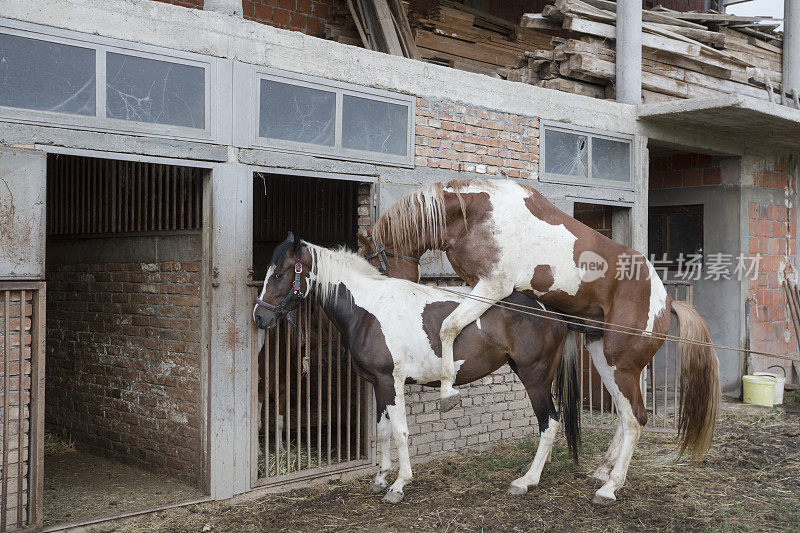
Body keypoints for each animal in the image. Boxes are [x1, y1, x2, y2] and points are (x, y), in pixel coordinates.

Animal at [256, 233, 580, 502]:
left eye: (280, 273)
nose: (260, 317)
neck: (370, 310)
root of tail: (551, 311)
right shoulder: (379, 385)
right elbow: (383, 431)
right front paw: (380, 479)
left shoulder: (392, 382)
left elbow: (400, 432)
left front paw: (399, 485)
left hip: (534, 377)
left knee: (549, 422)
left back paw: (526, 480)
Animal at [368, 178, 724, 502]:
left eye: (374, 261)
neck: (477, 214)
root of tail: (667, 302)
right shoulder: (478, 285)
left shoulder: (492, 285)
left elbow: (448, 326)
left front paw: (447, 393)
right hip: (604, 359)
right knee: (625, 416)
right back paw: (601, 472)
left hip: (620, 365)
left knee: (636, 418)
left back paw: (608, 488)